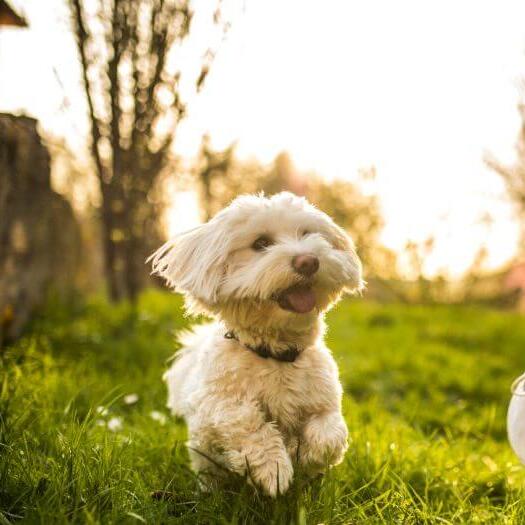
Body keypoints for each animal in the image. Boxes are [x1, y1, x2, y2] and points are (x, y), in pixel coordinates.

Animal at [149, 191, 362, 496]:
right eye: (260, 243)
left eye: (307, 234)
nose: (308, 261)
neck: (275, 354)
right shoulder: (216, 405)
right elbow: (249, 423)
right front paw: (274, 469)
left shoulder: (325, 400)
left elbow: (330, 432)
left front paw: (306, 455)